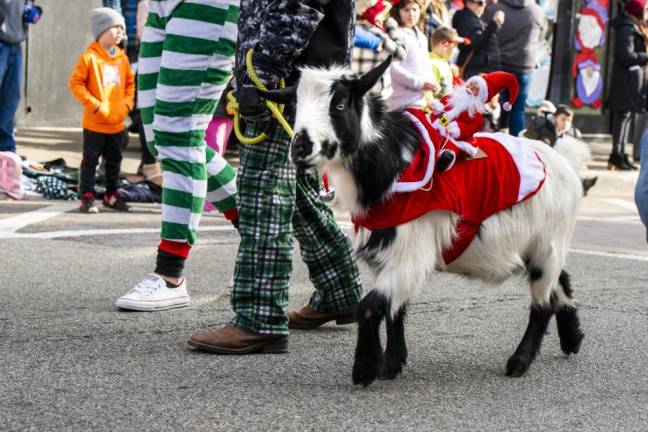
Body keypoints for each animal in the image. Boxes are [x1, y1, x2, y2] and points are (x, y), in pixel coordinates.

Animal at [260, 58, 584, 388]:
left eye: (339, 104)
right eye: (294, 106)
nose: (300, 149)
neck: (391, 165)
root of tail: (563, 162)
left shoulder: (411, 252)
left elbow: (370, 307)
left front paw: (365, 369)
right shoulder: (388, 253)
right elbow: (394, 309)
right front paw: (391, 364)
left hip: (547, 244)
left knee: (542, 303)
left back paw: (520, 361)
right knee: (561, 281)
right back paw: (572, 337)